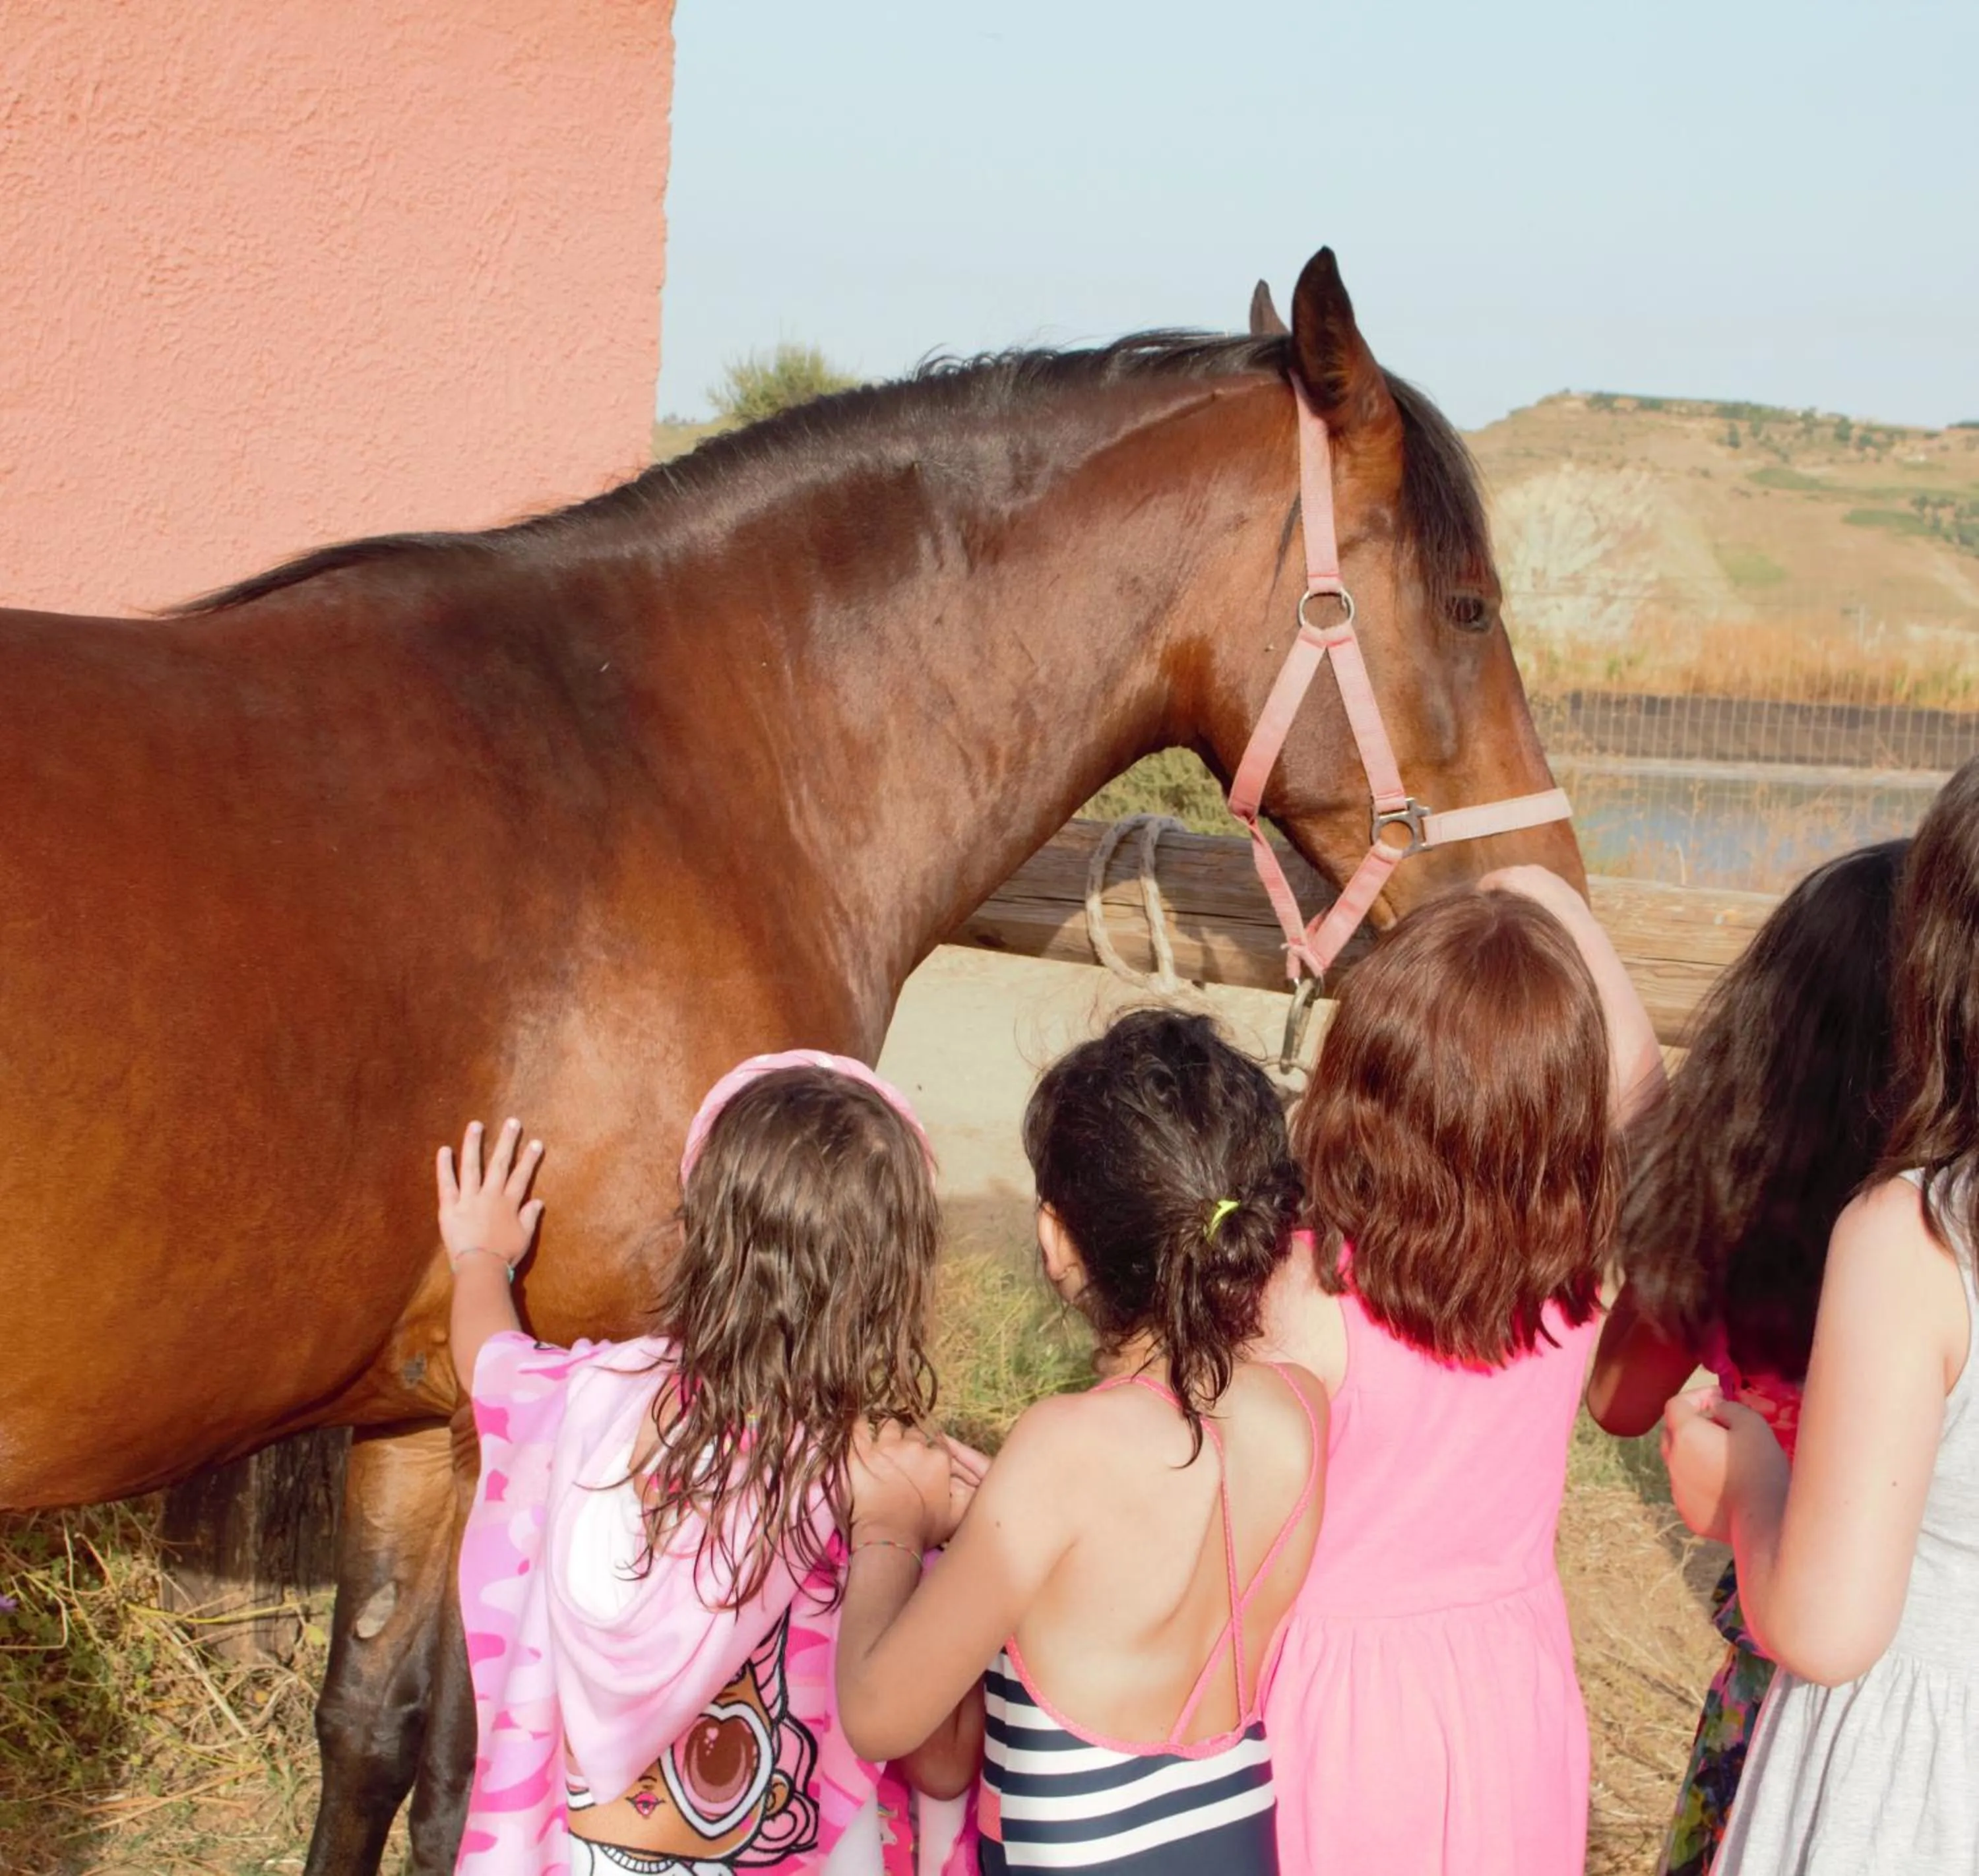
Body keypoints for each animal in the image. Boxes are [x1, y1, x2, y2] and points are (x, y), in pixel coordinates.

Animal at [0, 247, 1581, 1872]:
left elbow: (372, 1736)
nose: (1547, 895)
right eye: (1469, 605)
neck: (670, 760)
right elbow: (480, 1773)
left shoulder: (418, 1409)